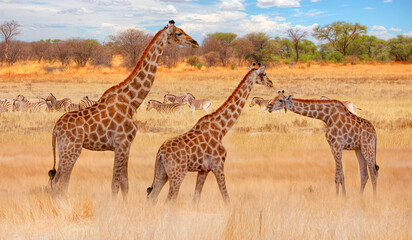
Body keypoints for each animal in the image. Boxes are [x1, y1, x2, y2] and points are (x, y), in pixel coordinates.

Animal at [48, 21, 200, 201]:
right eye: (178, 33)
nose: (195, 42)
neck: (132, 101)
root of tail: (56, 129)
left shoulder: (126, 146)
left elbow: (124, 185)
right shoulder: (121, 144)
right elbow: (115, 185)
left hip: (64, 149)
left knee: (56, 181)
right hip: (72, 149)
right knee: (60, 181)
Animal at [146, 64, 272, 205]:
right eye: (264, 74)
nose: (271, 83)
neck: (221, 129)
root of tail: (160, 153)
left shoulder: (203, 170)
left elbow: (196, 199)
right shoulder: (218, 165)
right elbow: (226, 198)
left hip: (162, 173)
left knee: (152, 197)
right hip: (177, 174)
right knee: (169, 200)